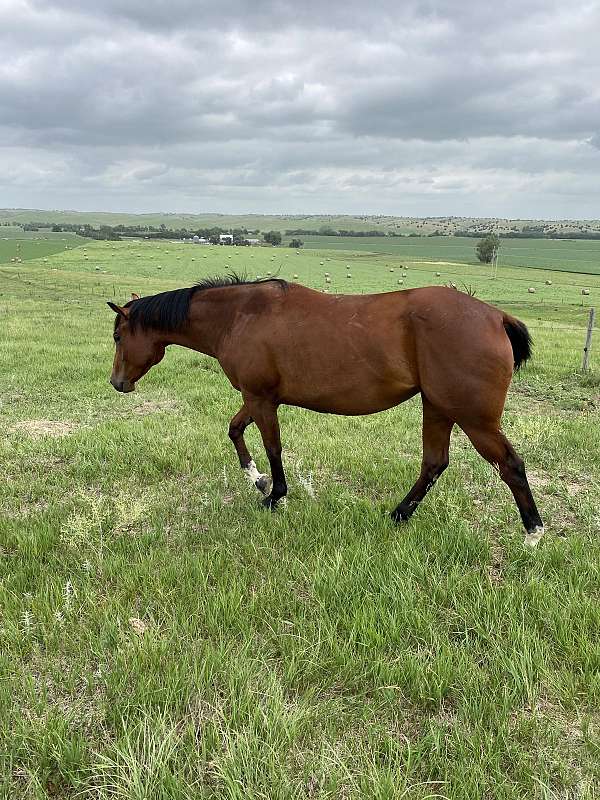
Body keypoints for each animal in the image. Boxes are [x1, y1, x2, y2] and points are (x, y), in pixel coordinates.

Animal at [108, 275, 544, 547]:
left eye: (117, 336)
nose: (117, 382)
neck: (240, 315)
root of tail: (495, 316)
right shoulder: (257, 398)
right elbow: (234, 431)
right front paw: (257, 480)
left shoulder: (260, 399)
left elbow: (273, 447)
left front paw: (275, 495)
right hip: (437, 408)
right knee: (434, 463)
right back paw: (399, 514)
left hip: (474, 419)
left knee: (510, 465)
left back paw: (533, 533)